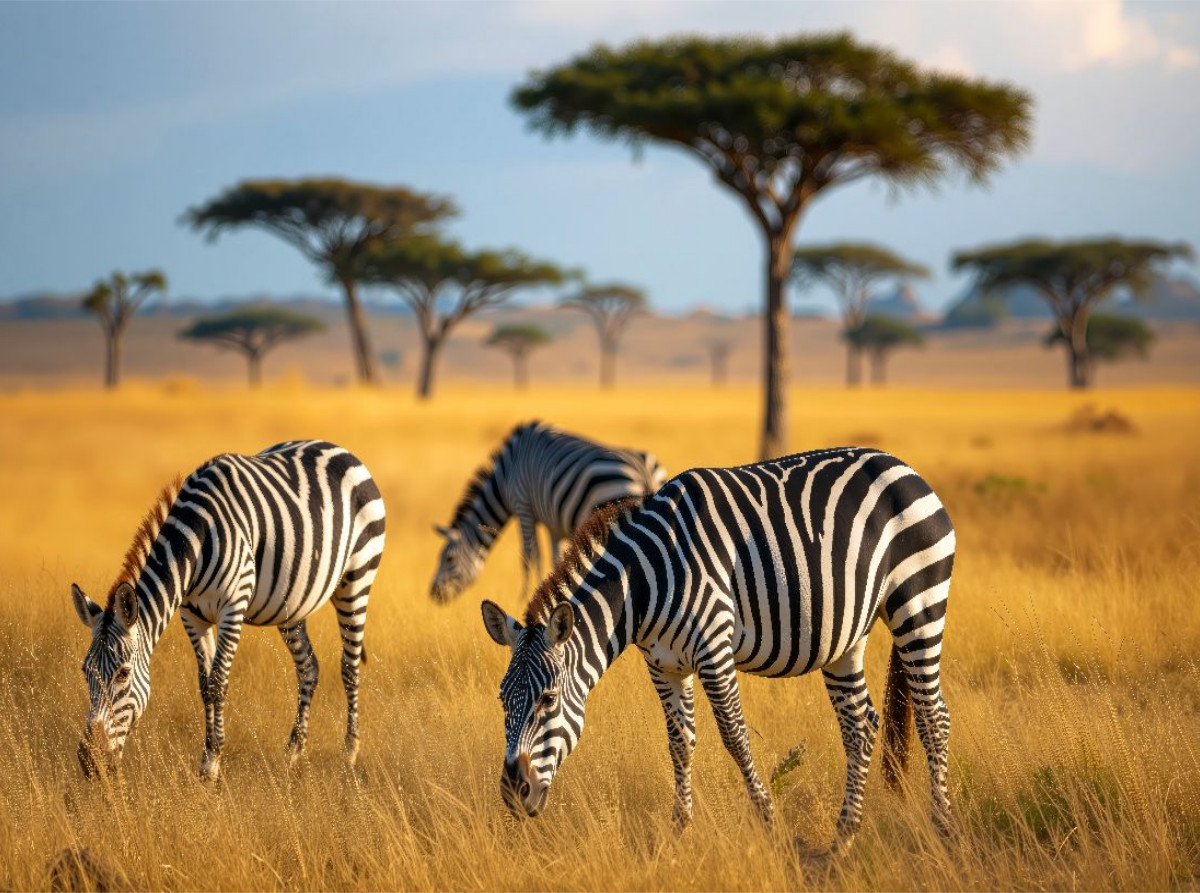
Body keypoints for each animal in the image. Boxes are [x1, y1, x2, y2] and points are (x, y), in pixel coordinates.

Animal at [71, 440, 386, 782]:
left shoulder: (232, 609)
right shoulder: (192, 616)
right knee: (308, 667)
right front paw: (206, 759)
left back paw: (350, 753)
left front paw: (212, 764)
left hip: (357, 579)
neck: (195, 543)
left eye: (124, 673)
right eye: (85, 671)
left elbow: (217, 682)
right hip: (291, 604)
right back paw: (293, 752)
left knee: (349, 667)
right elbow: (204, 684)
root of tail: (337, 447)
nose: (89, 762)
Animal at [431, 420, 667, 602]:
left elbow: (529, 556)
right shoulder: (555, 523)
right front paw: (558, 592)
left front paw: (524, 597)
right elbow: (556, 559)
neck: (506, 474)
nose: (432, 594)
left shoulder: (523, 507)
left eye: (449, 559)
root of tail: (644, 471)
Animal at [480, 447, 955, 848]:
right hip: (847, 640)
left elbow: (734, 736)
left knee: (934, 717)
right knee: (861, 725)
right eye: (502, 700)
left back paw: (943, 828)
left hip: (919, 603)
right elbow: (680, 742)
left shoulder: (713, 650)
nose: (513, 793)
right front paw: (679, 830)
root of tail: (902, 466)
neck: (642, 587)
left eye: (547, 699)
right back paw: (843, 838)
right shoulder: (664, 665)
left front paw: (768, 822)